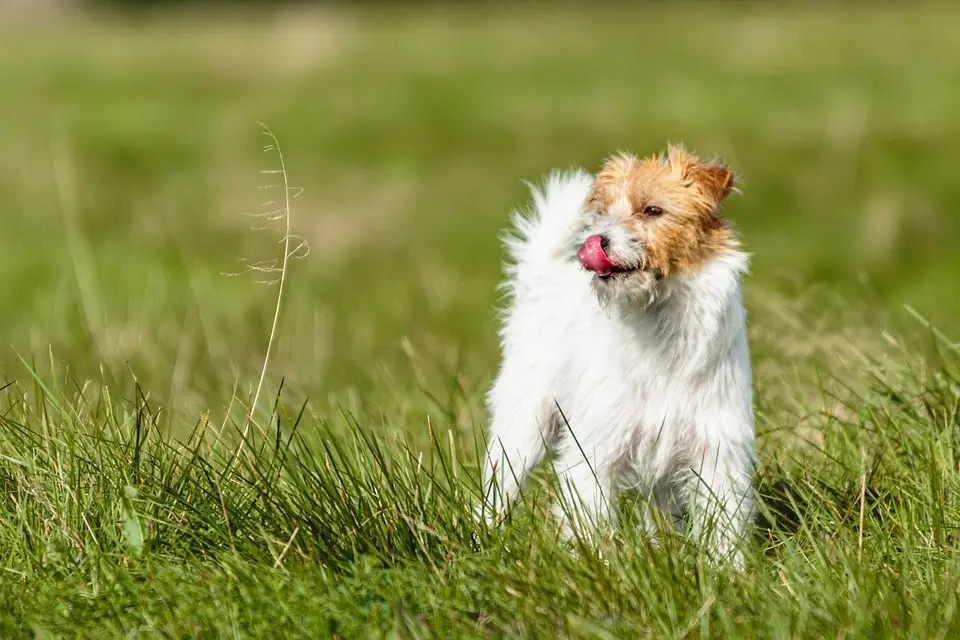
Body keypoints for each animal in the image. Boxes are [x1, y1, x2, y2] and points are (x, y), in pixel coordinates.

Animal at [480, 145, 756, 564]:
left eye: (652, 210)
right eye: (605, 212)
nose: (598, 239)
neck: (660, 323)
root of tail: (540, 284)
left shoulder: (717, 448)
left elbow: (723, 520)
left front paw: (728, 570)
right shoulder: (596, 446)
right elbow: (589, 516)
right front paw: (597, 565)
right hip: (522, 428)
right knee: (497, 489)